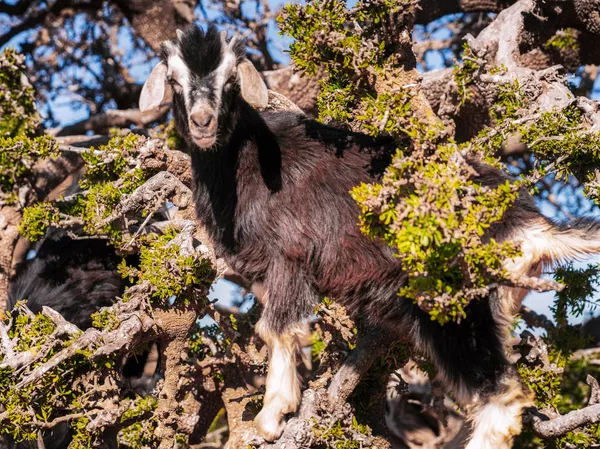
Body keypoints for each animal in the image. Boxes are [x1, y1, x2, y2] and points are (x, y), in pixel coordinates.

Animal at [141, 26, 600, 446]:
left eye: (231, 80)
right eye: (174, 80)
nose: (203, 122)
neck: (246, 160)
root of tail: (529, 227)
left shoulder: (289, 257)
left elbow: (277, 329)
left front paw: (271, 417)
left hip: (456, 308)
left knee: (500, 397)